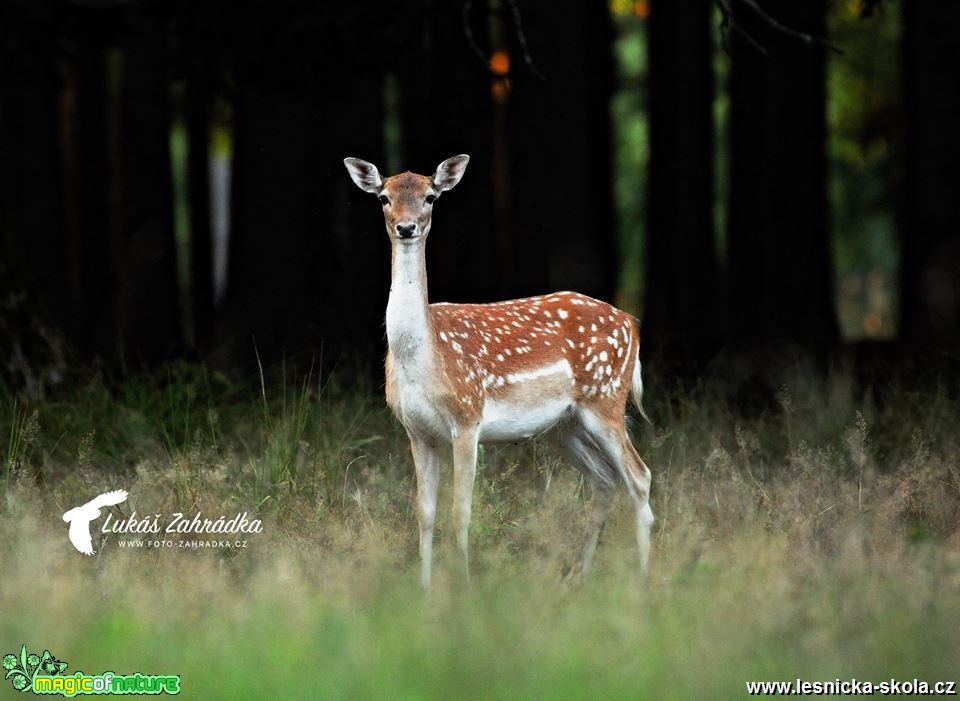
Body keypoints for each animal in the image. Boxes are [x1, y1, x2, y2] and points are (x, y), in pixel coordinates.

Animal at [344, 154, 652, 584]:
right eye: (384, 197)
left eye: (431, 196)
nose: (406, 227)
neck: (424, 357)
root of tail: (631, 322)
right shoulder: (416, 431)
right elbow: (425, 514)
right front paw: (424, 588)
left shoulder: (467, 418)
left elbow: (461, 512)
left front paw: (463, 584)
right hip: (565, 425)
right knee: (605, 480)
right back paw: (575, 577)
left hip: (605, 399)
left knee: (639, 477)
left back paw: (642, 580)